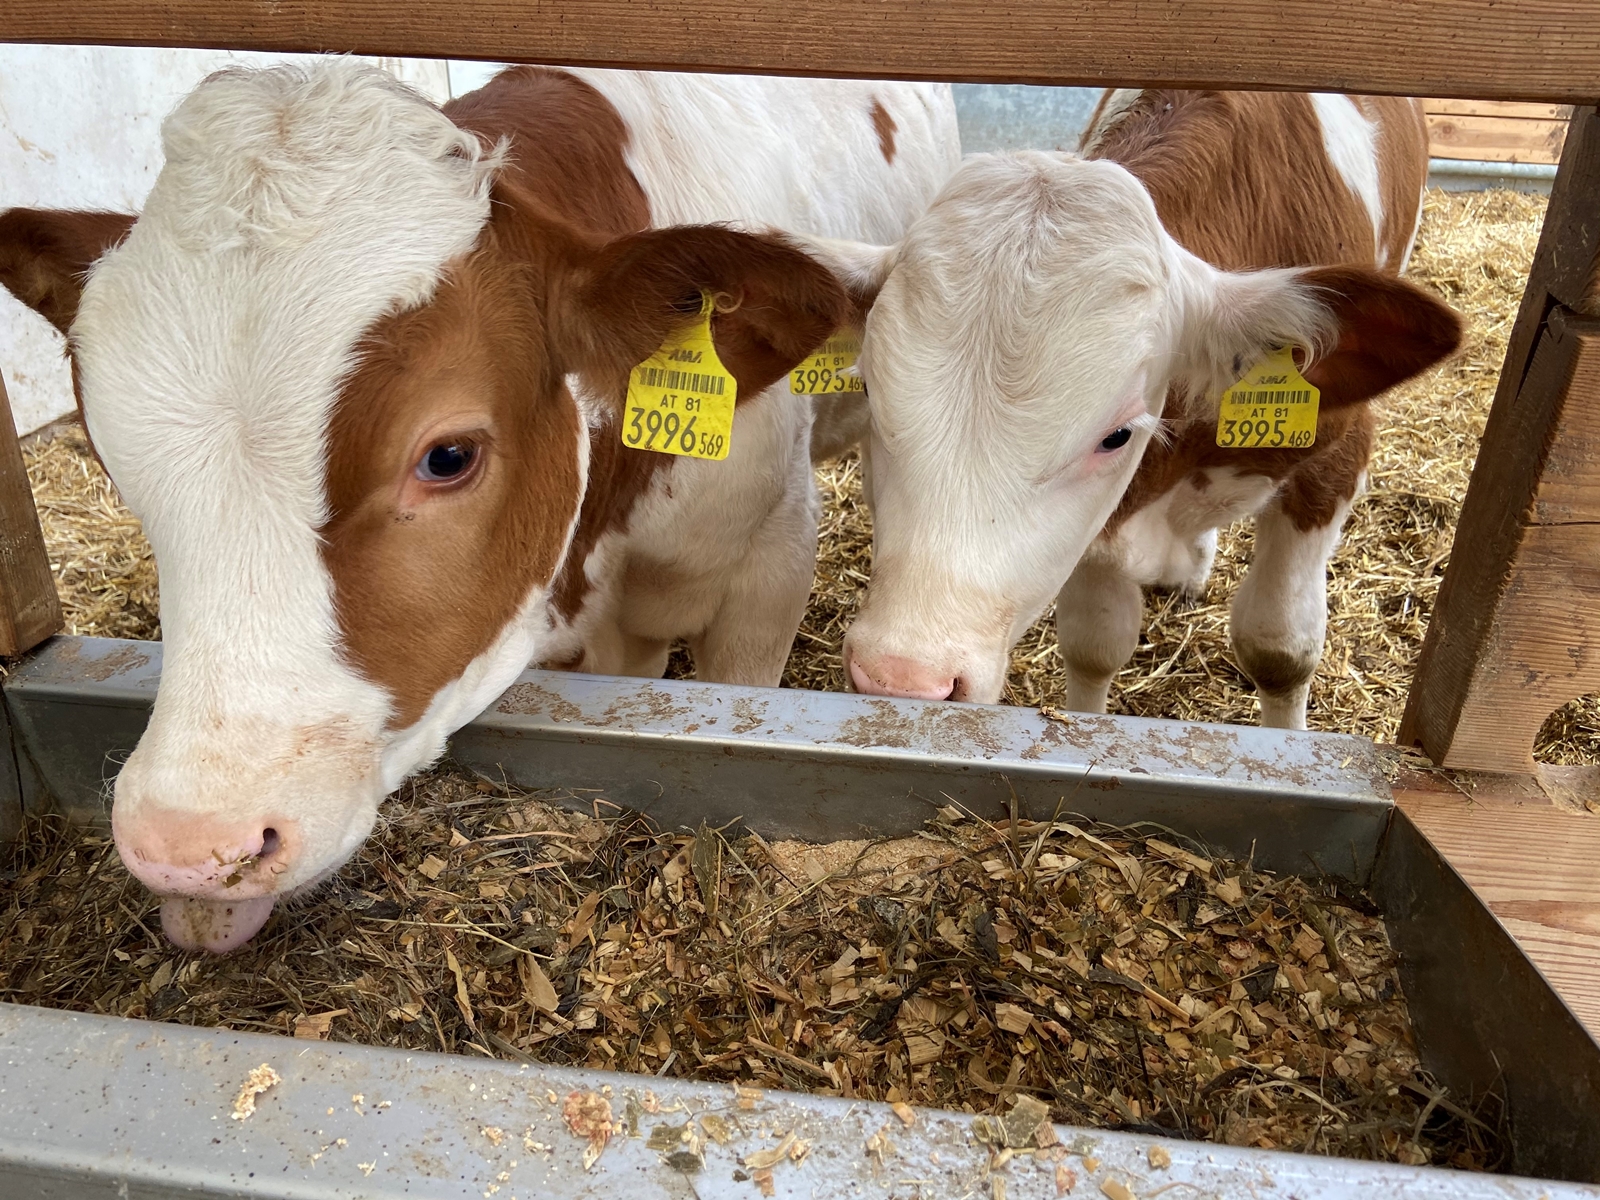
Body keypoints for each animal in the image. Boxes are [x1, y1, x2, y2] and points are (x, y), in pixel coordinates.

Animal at [812, 91, 1465, 723]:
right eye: (869, 392)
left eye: (1117, 435)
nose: (904, 678)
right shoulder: (1102, 525)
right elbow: (1094, 647)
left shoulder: (1336, 453)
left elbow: (1279, 652)